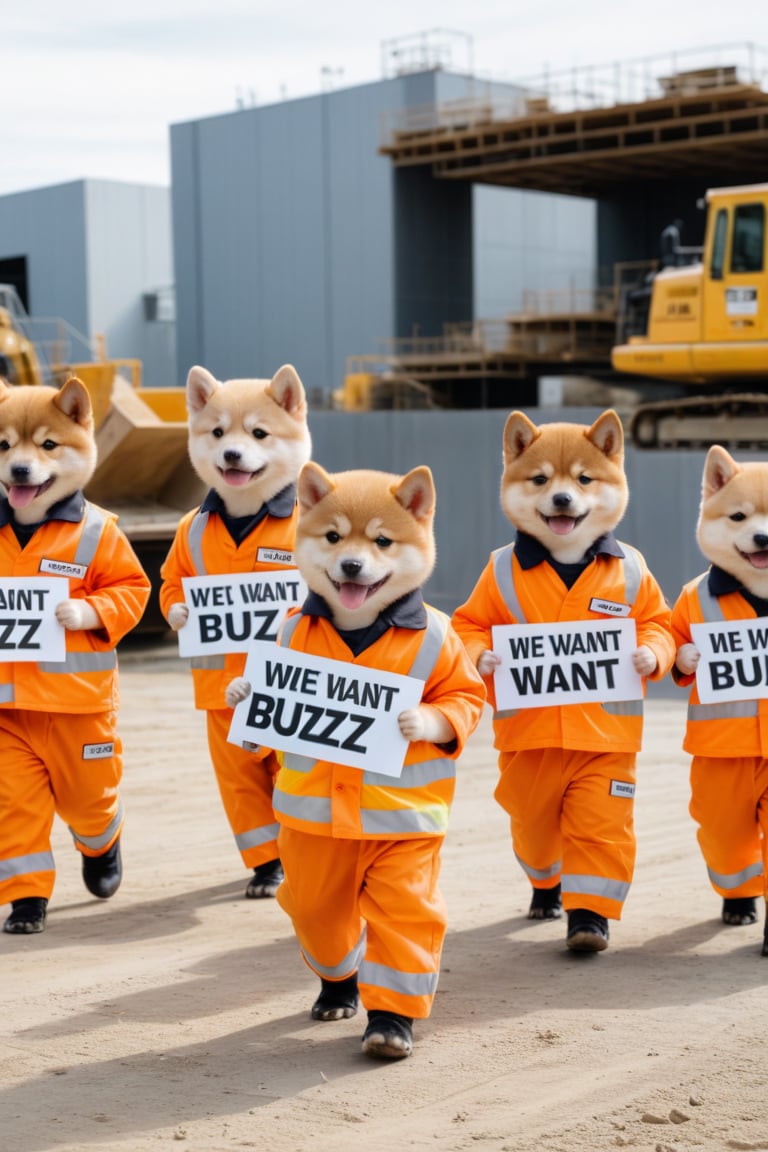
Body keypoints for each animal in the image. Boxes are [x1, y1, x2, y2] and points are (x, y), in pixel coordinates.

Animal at [0, 377, 151, 935]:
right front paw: (27, 908)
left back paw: (105, 868)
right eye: (4, 445)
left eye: (47, 445)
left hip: (88, 751)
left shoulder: (115, 552)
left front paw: (71, 612)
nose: (20, 471)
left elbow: (126, 590)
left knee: (97, 808)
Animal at [160, 364, 313, 903]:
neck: (248, 510)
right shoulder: (180, 548)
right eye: (219, 433)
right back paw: (270, 866)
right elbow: (169, 583)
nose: (230, 454)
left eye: (259, 433)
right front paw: (183, 614)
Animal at [225, 463, 485, 1055]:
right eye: (333, 537)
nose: (351, 565)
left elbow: (462, 700)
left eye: (382, 541)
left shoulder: (452, 658)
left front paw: (417, 722)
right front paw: (242, 691)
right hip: (316, 873)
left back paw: (387, 1024)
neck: (359, 624)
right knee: (324, 922)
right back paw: (338, 992)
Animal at [453, 414, 677, 953]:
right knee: (535, 837)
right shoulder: (482, 593)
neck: (570, 555)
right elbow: (471, 624)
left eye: (583, 479)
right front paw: (490, 659)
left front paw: (590, 922)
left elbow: (656, 623)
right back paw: (546, 896)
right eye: (540, 480)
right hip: (526, 790)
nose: (560, 499)